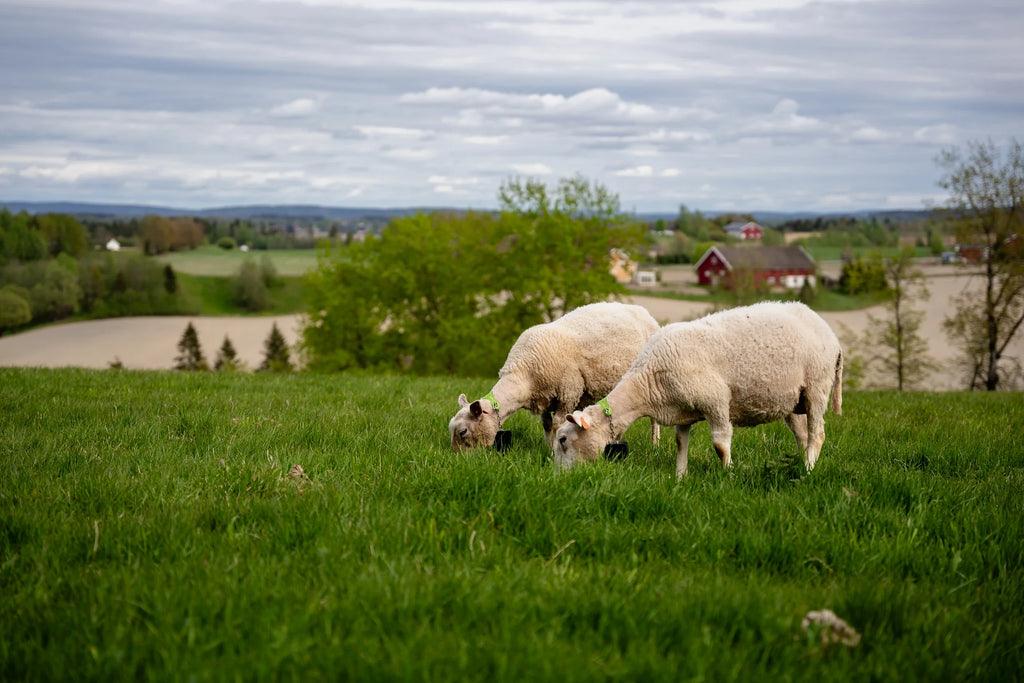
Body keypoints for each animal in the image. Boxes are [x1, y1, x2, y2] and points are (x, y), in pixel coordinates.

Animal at [449, 301, 661, 451]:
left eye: (463, 431)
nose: (457, 458)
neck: (524, 373)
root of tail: (642, 311)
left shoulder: (568, 393)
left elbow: (558, 425)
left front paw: (553, 451)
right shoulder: (543, 398)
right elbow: (546, 425)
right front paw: (548, 447)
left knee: (654, 420)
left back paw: (655, 444)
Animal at [553, 301, 843, 477]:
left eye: (563, 439)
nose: (558, 477)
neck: (649, 381)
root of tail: (829, 332)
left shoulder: (716, 401)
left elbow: (720, 444)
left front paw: (729, 474)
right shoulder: (683, 411)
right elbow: (681, 443)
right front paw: (680, 477)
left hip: (817, 386)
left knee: (817, 433)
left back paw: (808, 469)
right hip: (794, 400)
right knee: (802, 435)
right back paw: (800, 463)